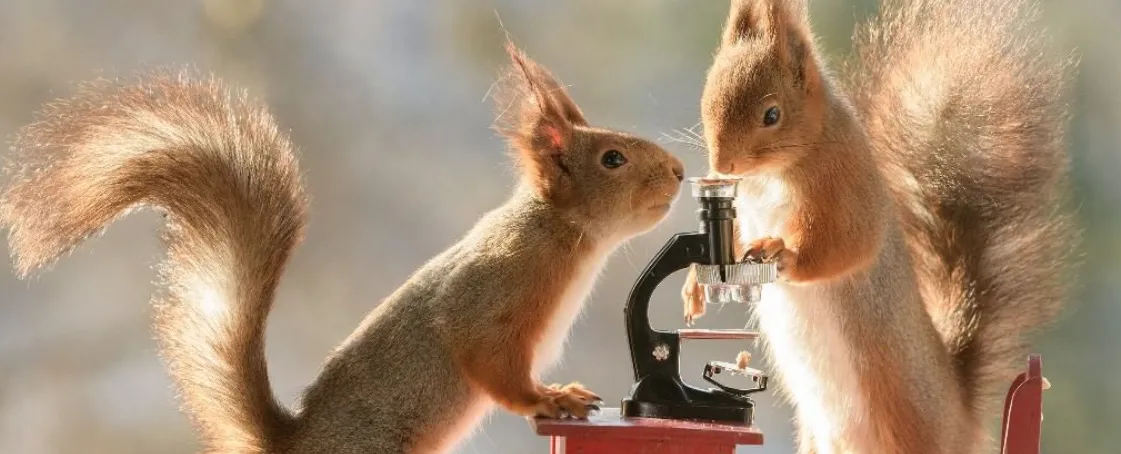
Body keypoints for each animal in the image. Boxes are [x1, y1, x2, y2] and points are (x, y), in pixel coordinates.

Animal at [0, 42, 685, 453]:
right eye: (613, 159)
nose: (680, 172)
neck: (561, 233)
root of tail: (298, 444)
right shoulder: (496, 288)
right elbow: (489, 358)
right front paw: (551, 397)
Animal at [681, 0, 1078, 453]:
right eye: (708, 94)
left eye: (772, 114)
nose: (722, 165)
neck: (775, 171)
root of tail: (961, 419)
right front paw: (693, 285)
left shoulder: (849, 189)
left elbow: (847, 246)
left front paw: (778, 251)